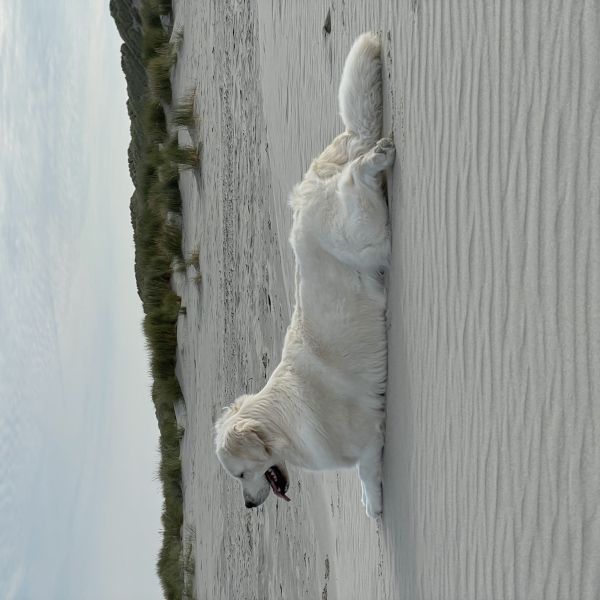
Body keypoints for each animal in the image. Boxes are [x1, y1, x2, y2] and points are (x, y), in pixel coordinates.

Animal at [216, 32, 394, 516]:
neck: (282, 424)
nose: (248, 507)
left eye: (239, 475)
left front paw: (374, 505)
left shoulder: (366, 441)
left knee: (355, 179)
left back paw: (374, 159)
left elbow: (367, 473)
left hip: (363, 237)